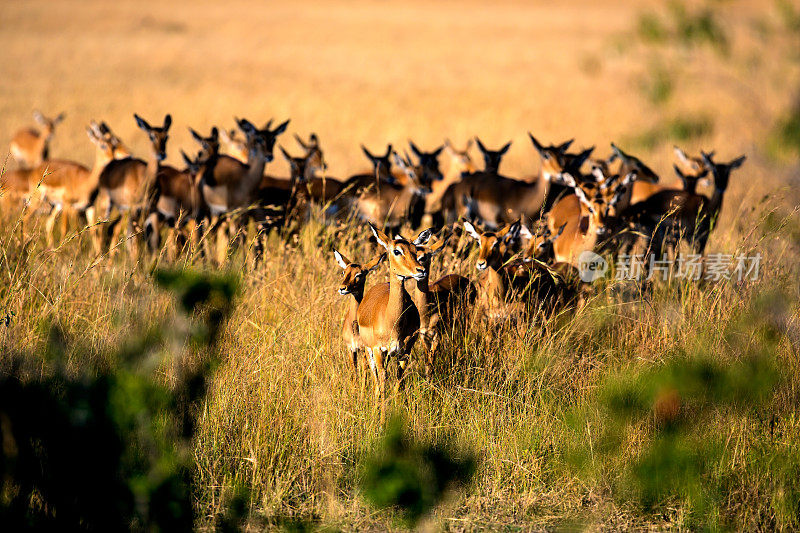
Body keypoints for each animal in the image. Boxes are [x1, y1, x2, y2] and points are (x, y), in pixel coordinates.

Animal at [356, 222, 424, 418]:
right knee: (376, 382)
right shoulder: (379, 350)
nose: (421, 271)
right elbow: (383, 385)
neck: (393, 322)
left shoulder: (405, 352)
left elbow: (399, 385)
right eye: (396, 251)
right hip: (370, 352)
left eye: (415, 250)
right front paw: (381, 420)